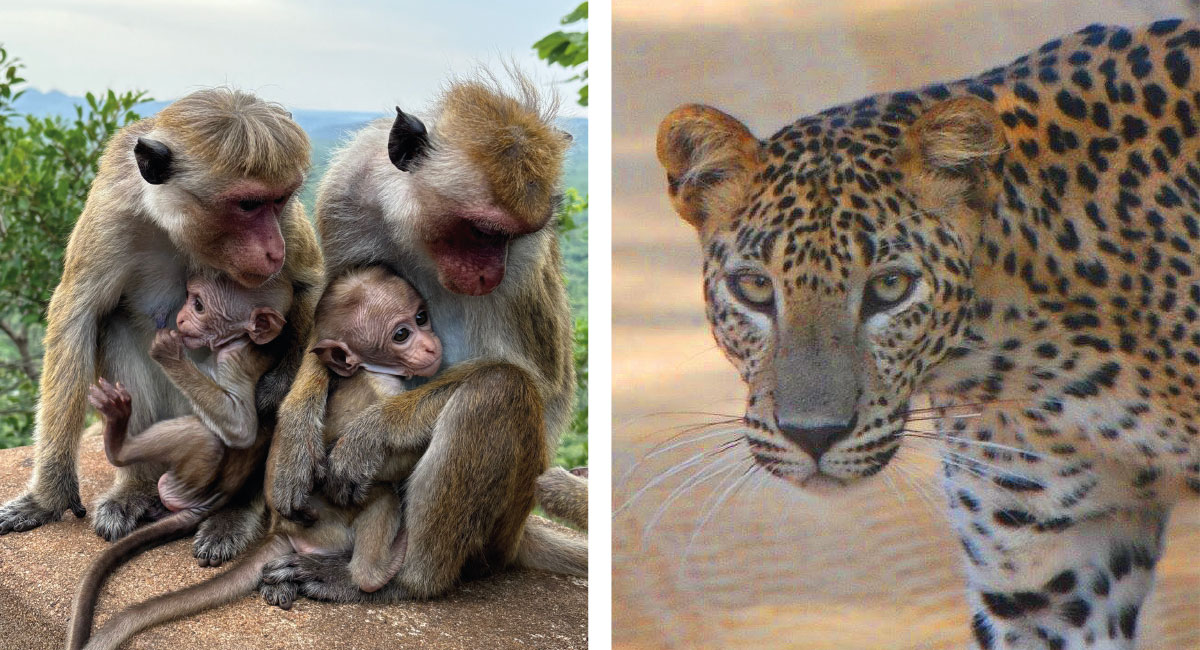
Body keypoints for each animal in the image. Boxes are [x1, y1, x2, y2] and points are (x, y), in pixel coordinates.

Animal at [0, 88, 323, 568]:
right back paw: (136, 485)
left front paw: (281, 390)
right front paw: (47, 498)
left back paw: (235, 513)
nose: (273, 250)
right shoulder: (113, 207)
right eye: (248, 205)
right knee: (115, 326)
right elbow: (77, 314)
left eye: (280, 200)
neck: (176, 224)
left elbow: (311, 283)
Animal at [66, 274, 292, 650]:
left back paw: (118, 443)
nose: (180, 317)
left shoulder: (236, 359)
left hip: (189, 481)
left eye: (199, 305)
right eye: (190, 298)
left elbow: (241, 426)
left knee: (204, 437)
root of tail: (211, 500)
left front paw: (168, 352)